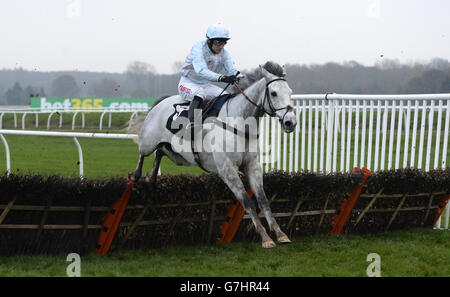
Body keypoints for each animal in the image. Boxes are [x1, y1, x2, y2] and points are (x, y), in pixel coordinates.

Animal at [130, 61, 298, 246]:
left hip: (177, 155)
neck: (239, 124)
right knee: (143, 153)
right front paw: (265, 238)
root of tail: (161, 102)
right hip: (148, 141)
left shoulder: (252, 165)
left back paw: (152, 179)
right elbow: (247, 201)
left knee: (160, 152)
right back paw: (136, 176)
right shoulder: (227, 169)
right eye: (274, 93)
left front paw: (280, 233)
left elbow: (263, 200)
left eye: (290, 92)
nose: (291, 122)